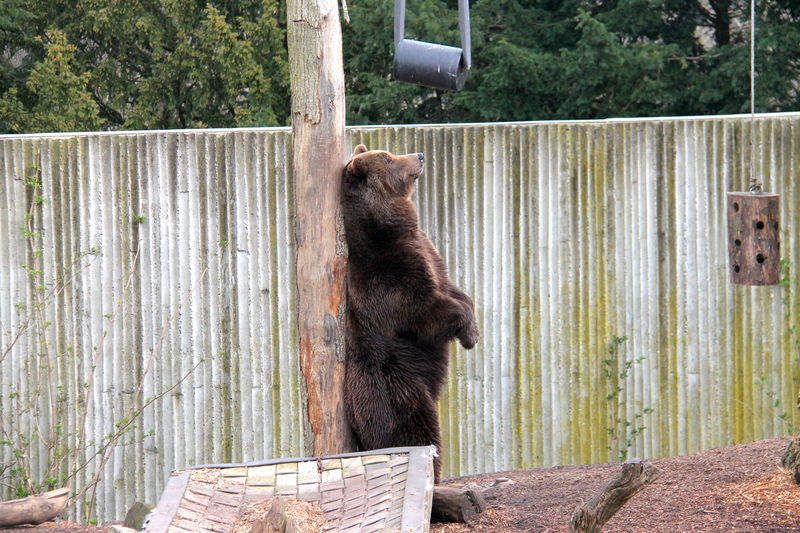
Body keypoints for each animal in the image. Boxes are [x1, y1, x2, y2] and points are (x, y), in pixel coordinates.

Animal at [340, 142, 478, 482]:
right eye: (389, 158)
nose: (419, 155)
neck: (387, 230)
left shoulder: (426, 250)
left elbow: (454, 289)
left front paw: (474, 328)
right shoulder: (389, 278)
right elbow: (424, 311)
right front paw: (467, 333)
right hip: (395, 387)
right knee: (415, 433)